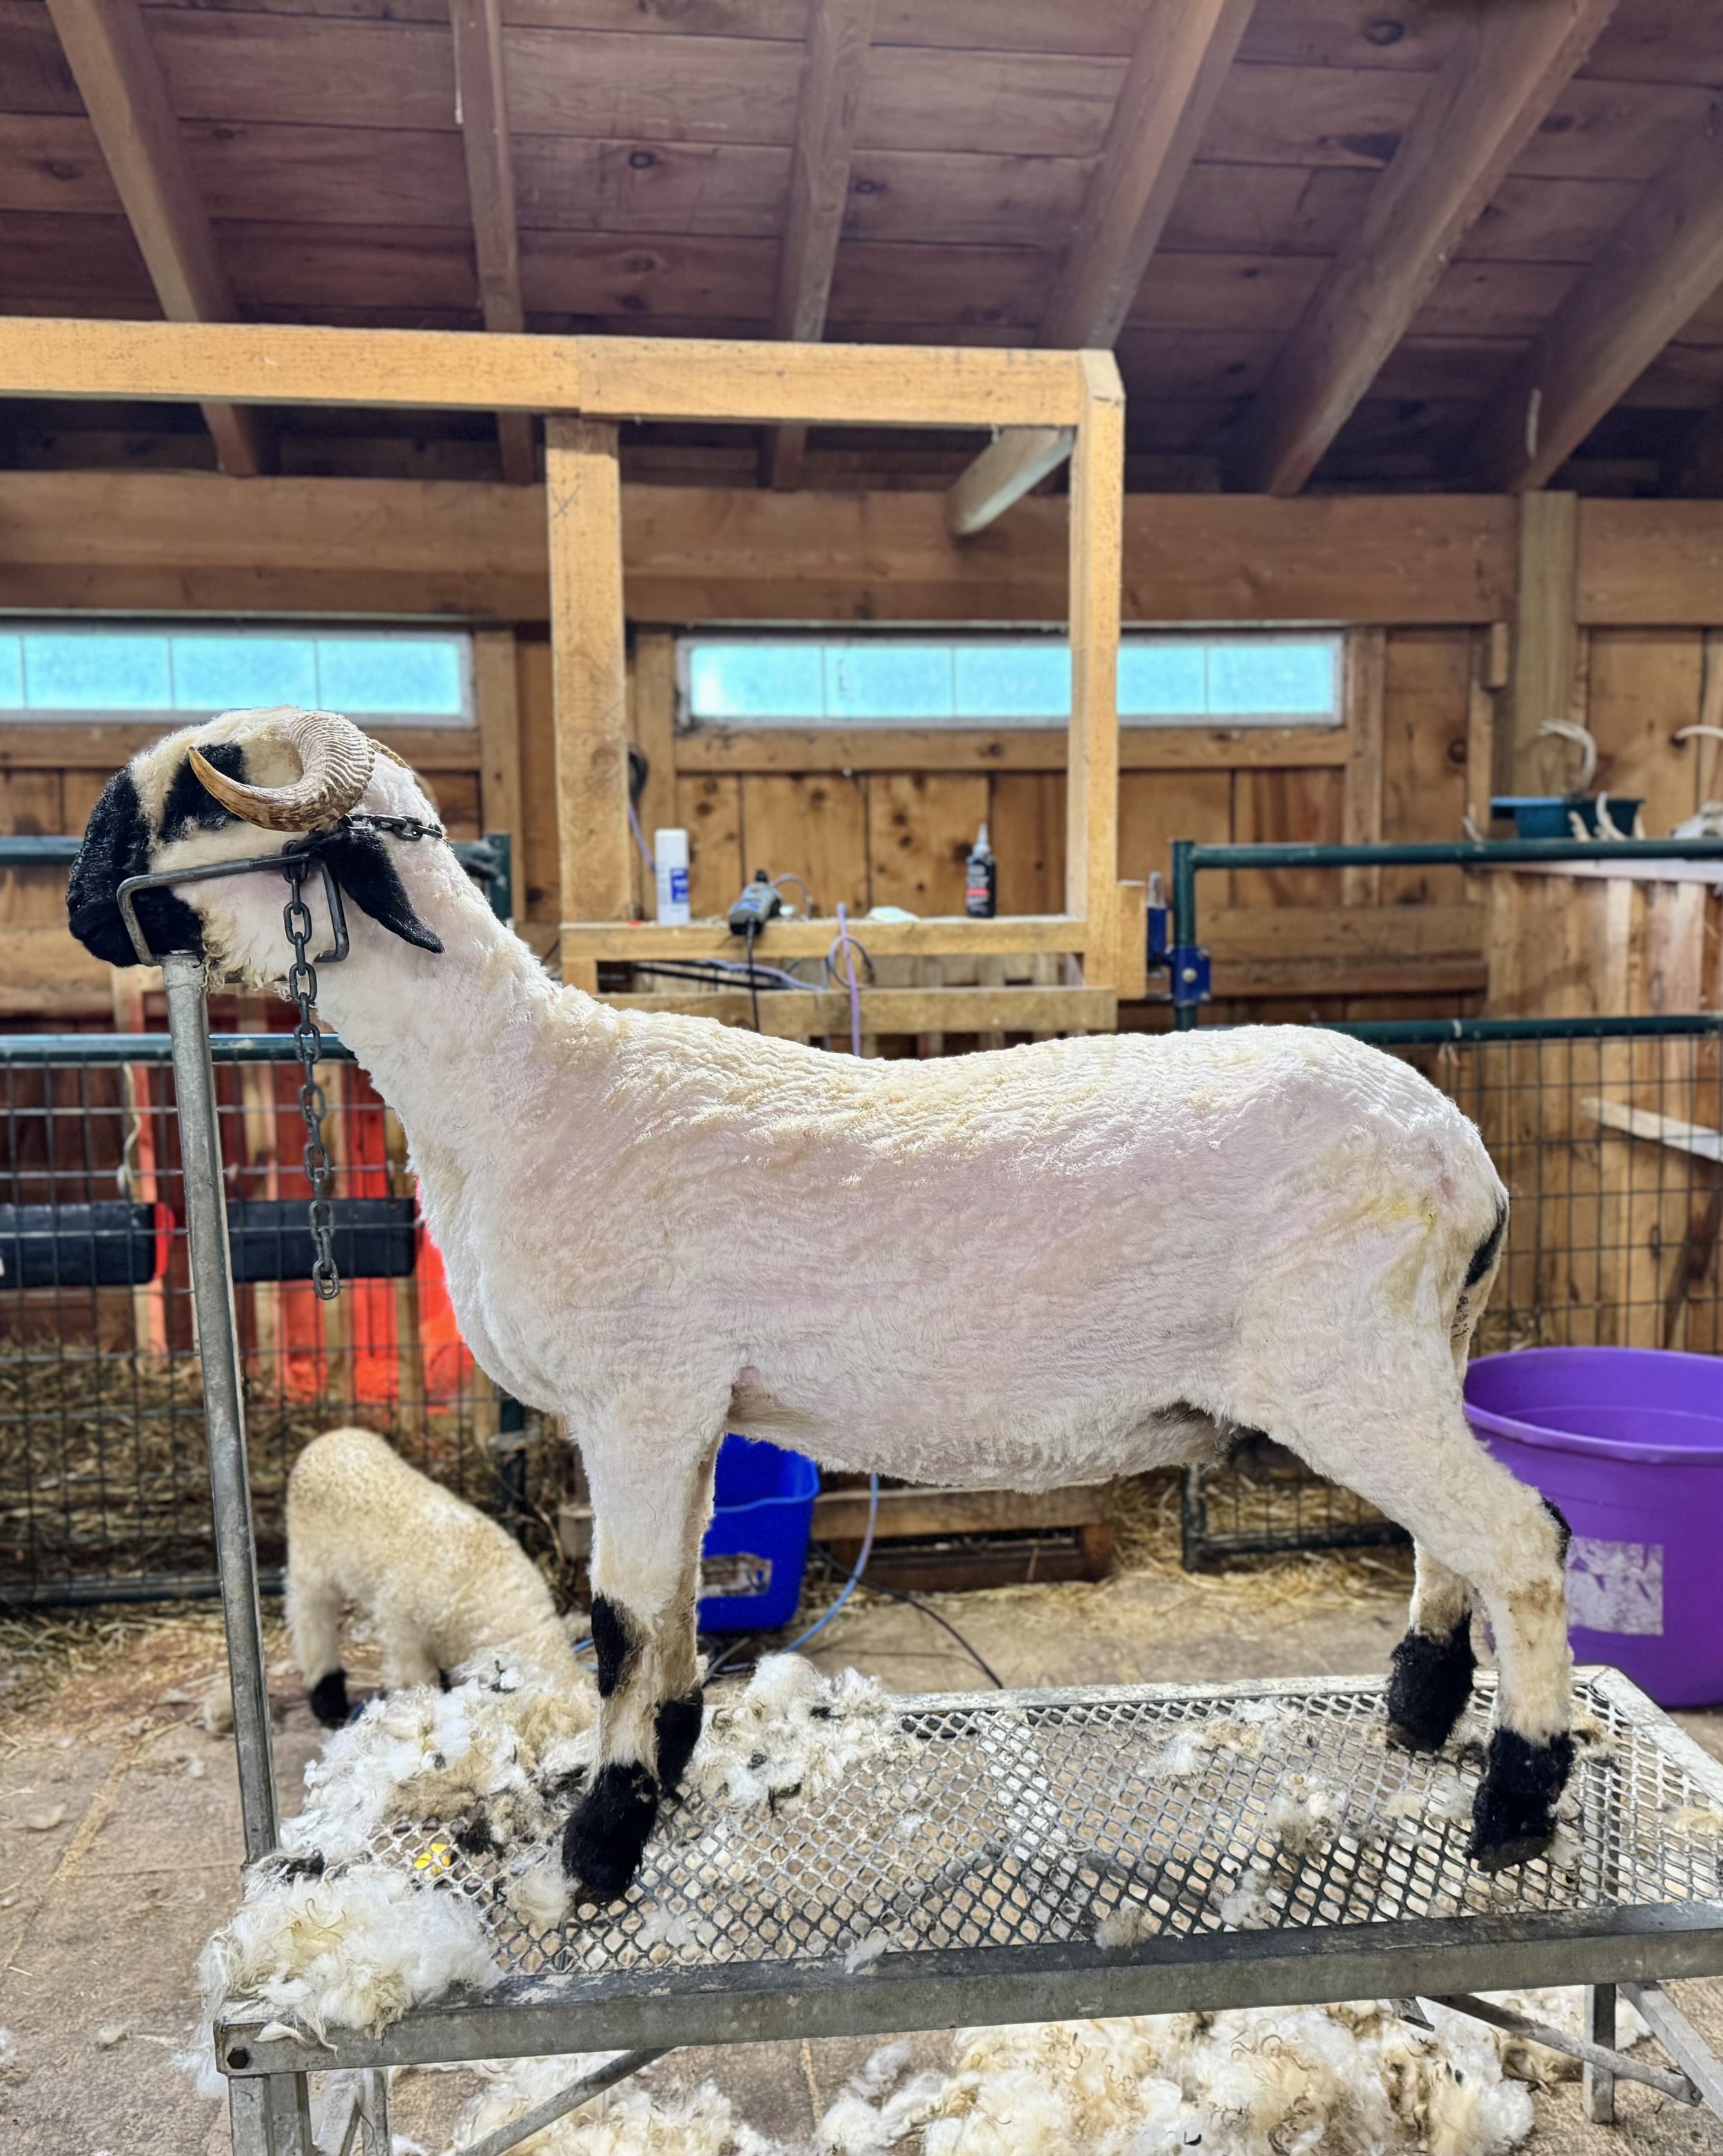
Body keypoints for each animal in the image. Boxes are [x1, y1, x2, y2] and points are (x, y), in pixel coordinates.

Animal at [284, 1424, 578, 1726]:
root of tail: (329, 1439)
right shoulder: (401, 1625)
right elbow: (414, 1680)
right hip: (309, 1563)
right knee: (309, 1619)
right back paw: (327, 1699)